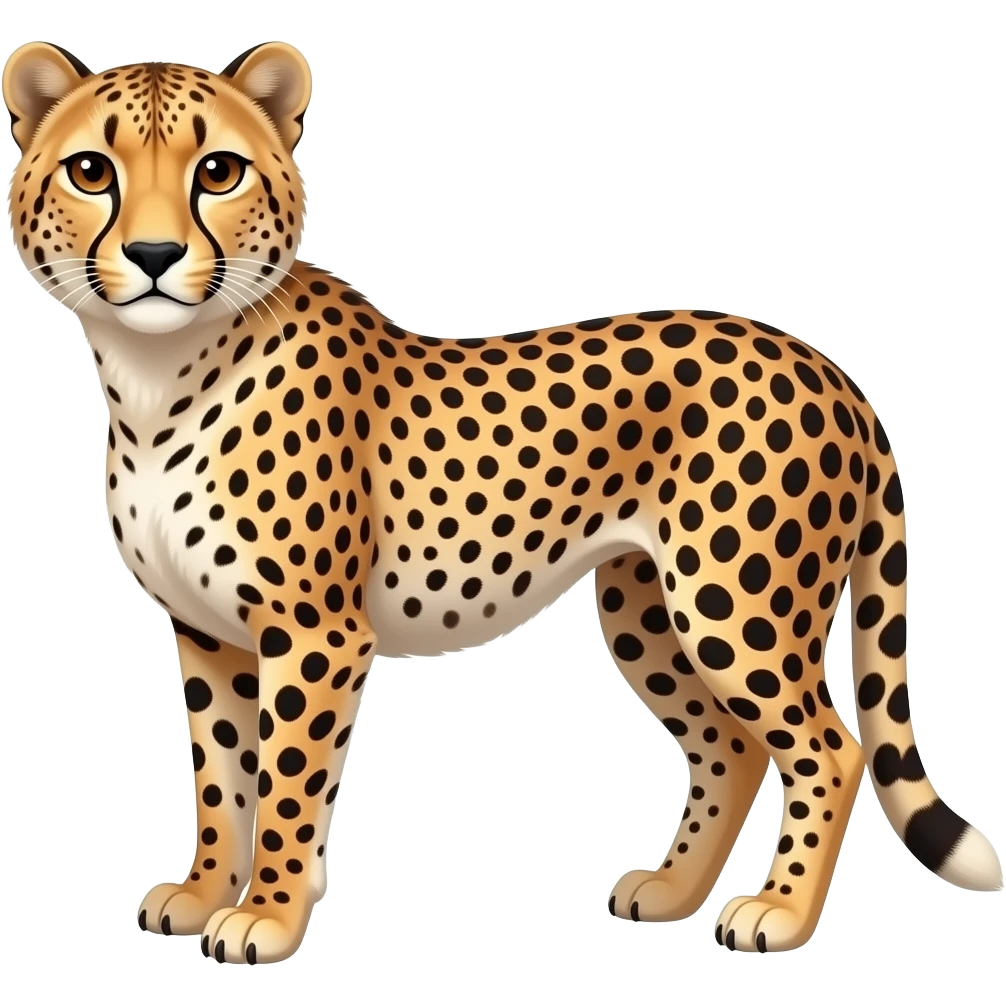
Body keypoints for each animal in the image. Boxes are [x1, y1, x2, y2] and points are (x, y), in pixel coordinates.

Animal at [3, 39, 1001, 964]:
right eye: (92, 171)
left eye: (218, 171)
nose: (155, 255)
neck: (155, 373)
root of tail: (827, 366)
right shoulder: (208, 633)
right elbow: (220, 778)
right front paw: (204, 891)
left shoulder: (314, 635)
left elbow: (285, 783)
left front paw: (267, 918)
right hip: (647, 609)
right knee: (736, 745)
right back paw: (674, 889)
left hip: (734, 604)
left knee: (829, 747)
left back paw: (781, 914)